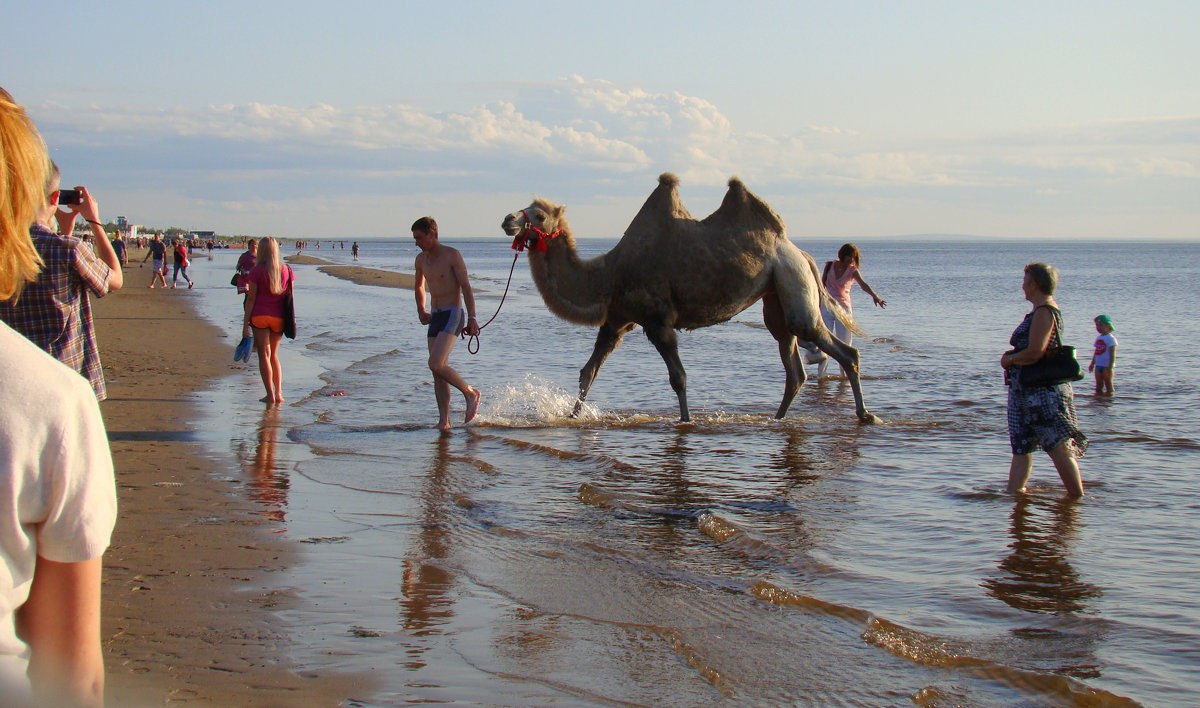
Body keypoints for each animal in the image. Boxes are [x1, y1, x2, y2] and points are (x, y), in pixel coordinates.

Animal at [496, 174, 883, 424]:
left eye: (539, 214)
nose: (507, 219)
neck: (609, 274)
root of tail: (800, 252)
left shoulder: (657, 322)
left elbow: (678, 378)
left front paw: (685, 422)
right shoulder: (616, 320)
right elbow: (587, 371)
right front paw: (571, 416)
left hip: (793, 283)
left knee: (837, 348)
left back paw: (866, 415)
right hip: (777, 296)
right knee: (794, 365)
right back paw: (778, 419)